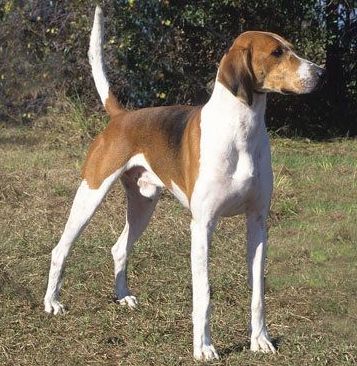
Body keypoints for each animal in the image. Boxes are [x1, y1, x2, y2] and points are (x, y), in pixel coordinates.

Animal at [43, 6, 324, 364]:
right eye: (276, 53)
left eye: (291, 48)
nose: (321, 73)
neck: (241, 129)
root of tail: (121, 116)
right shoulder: (202, 226)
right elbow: (203, 294)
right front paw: (203, 347)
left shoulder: (258, 222)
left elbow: (258, 292)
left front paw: (260, 340)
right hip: (90, 193)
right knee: (60, 249)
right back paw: (52, 302)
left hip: (143, 204)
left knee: (119, 248)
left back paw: (123, 297)